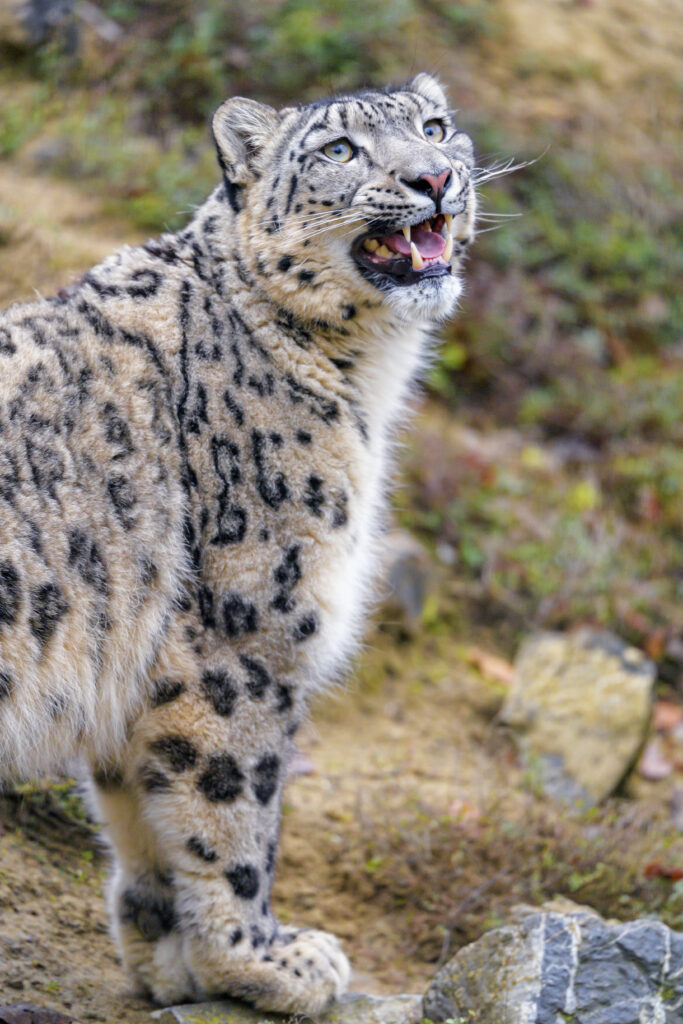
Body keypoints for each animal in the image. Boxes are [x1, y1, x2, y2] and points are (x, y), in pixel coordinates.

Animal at [0, 72, 476, 1013]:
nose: (433, 177)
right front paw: (265, 959)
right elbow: (233, 809)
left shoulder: (141, 674)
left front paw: (165, 957)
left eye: (437, 128)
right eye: (340, 149)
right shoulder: (243, 636)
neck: (366, 381)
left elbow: (141, 812)